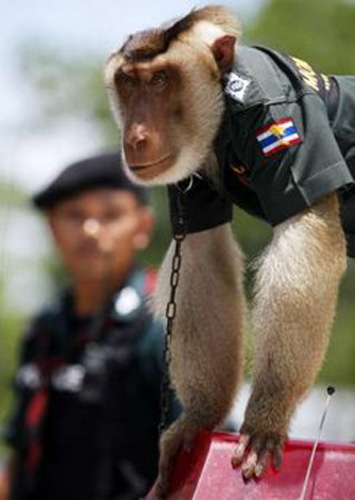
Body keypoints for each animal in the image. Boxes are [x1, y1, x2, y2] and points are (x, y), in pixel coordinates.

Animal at [105, 3, 355, 496]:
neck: (221, 107)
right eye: (129, 82)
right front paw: (199, 418)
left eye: (159, 80)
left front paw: (266, 415)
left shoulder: (281, 115)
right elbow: (202, 254)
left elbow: (304, 232)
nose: (137, 135)